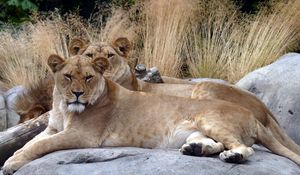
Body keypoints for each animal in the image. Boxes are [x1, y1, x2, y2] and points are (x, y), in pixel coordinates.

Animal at [2, 54, 300, 174]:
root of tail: (255, 114)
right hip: (196, 129)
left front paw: (12, 164)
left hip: (209, 115)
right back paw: (195, 150)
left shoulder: (83, 135)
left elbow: (40, 146)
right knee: (214, 143)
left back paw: (232, 157)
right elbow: (30, 143)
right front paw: (13, 157)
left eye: (88, 77)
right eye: (67, 77)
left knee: (243, 148)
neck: (64, 108)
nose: (77, 94)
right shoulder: (53, 128)